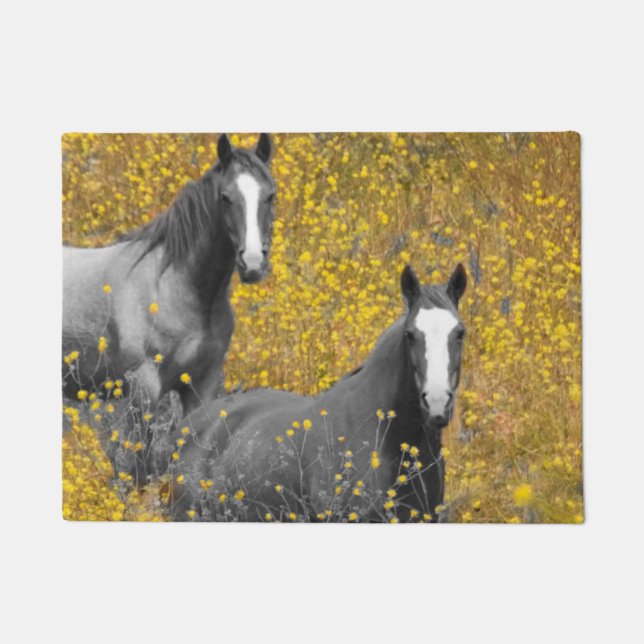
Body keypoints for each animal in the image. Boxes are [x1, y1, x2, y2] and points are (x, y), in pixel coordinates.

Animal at [63, 133, 276, 485]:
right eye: (225, 197)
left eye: (270, 195)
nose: (253, 263)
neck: (176, 287)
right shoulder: (144, 388)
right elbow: (140, 468)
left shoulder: (201, 386)